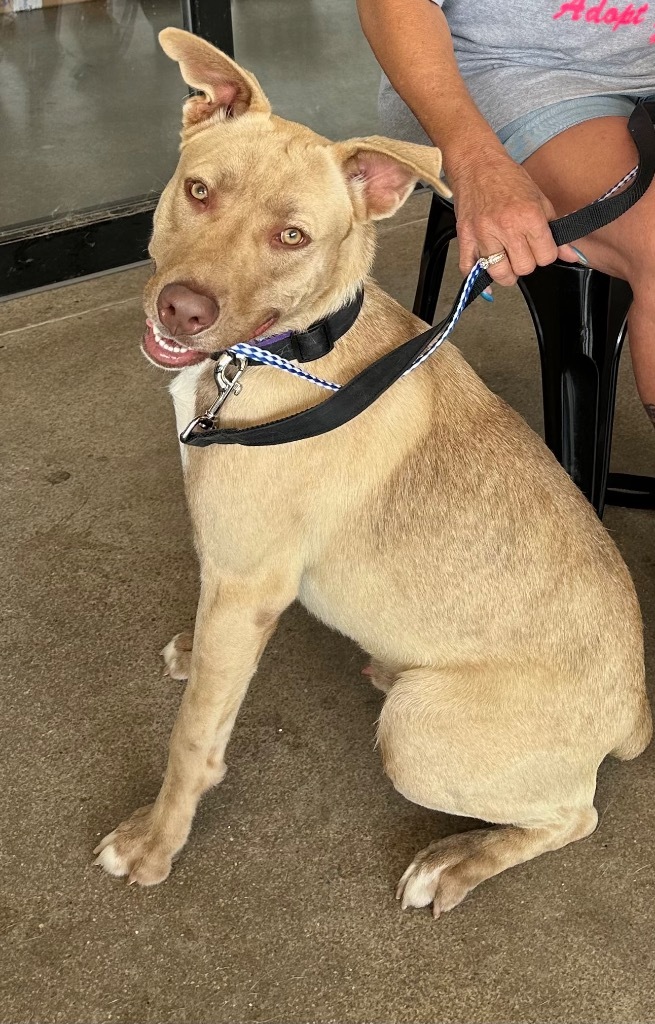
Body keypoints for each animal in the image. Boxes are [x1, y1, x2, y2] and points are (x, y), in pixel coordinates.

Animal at [94, 28, 650, 917]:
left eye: (292, 237)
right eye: (198, 191)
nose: (180, 309)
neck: (282, 353)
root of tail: (633, 708)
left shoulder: (248, 585)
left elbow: (193, 738)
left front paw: (155, 844)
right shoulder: (232, 574)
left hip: (419, 733)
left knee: (574, 816)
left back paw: (454, 861)